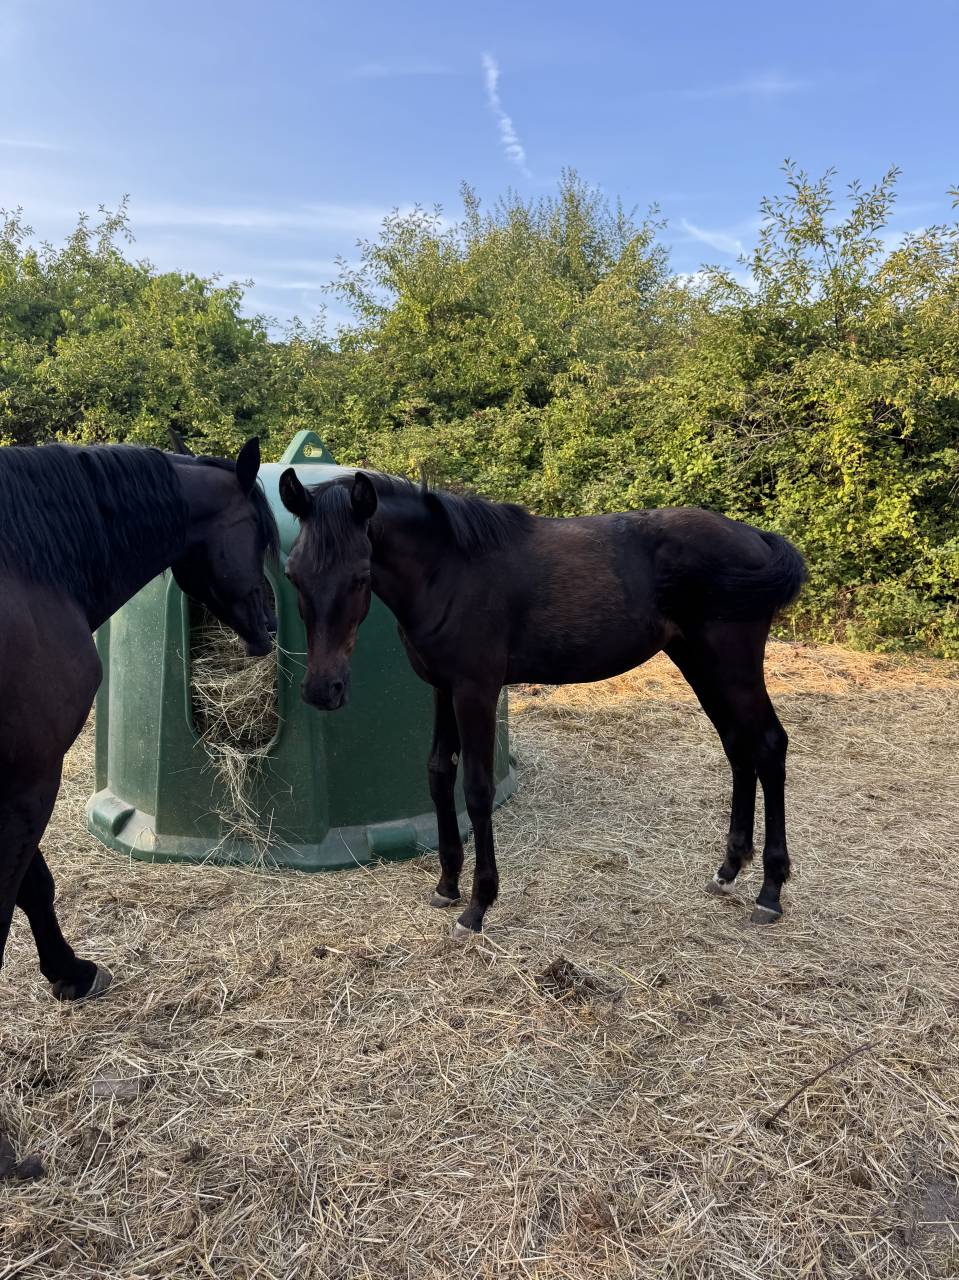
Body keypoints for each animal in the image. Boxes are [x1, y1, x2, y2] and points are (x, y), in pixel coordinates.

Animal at [0, 433, 279, 1022]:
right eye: (259, 534)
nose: (270, 624)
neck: (34, 570)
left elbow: (31, 885)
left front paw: (70, 971)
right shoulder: (32, 777)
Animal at [278, 468, 807, 940]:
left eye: (359, 576)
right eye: (293, 575)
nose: (322, 689)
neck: (450, 571)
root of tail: (756, 538)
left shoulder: (475, 689)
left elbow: (476, 789)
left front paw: (477, 906)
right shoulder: (442, 688)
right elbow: (438, 773)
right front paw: (446, 885)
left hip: (731, 667)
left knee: (769, 745)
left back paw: (770, 891)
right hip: (700, 663)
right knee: (739, 747)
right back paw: (729, 869)